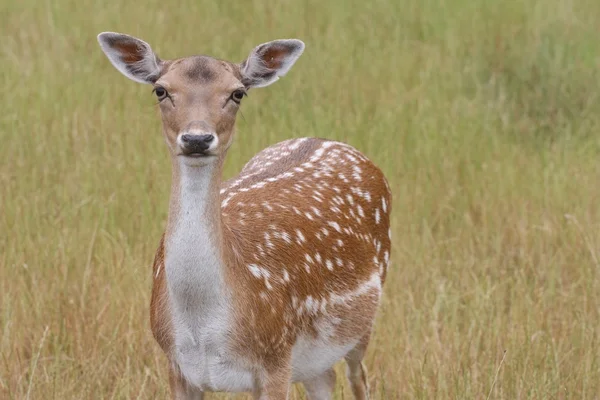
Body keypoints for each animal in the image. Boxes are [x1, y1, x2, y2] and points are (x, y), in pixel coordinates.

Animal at [96, 32, 392, 400]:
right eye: (160, 90)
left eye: (237, 93)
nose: (197, 138)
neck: (204, 326)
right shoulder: (175, 363)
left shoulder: (276, 357)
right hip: (316, 358)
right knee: (325, 378)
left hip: (363, 321)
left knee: (358, 378)